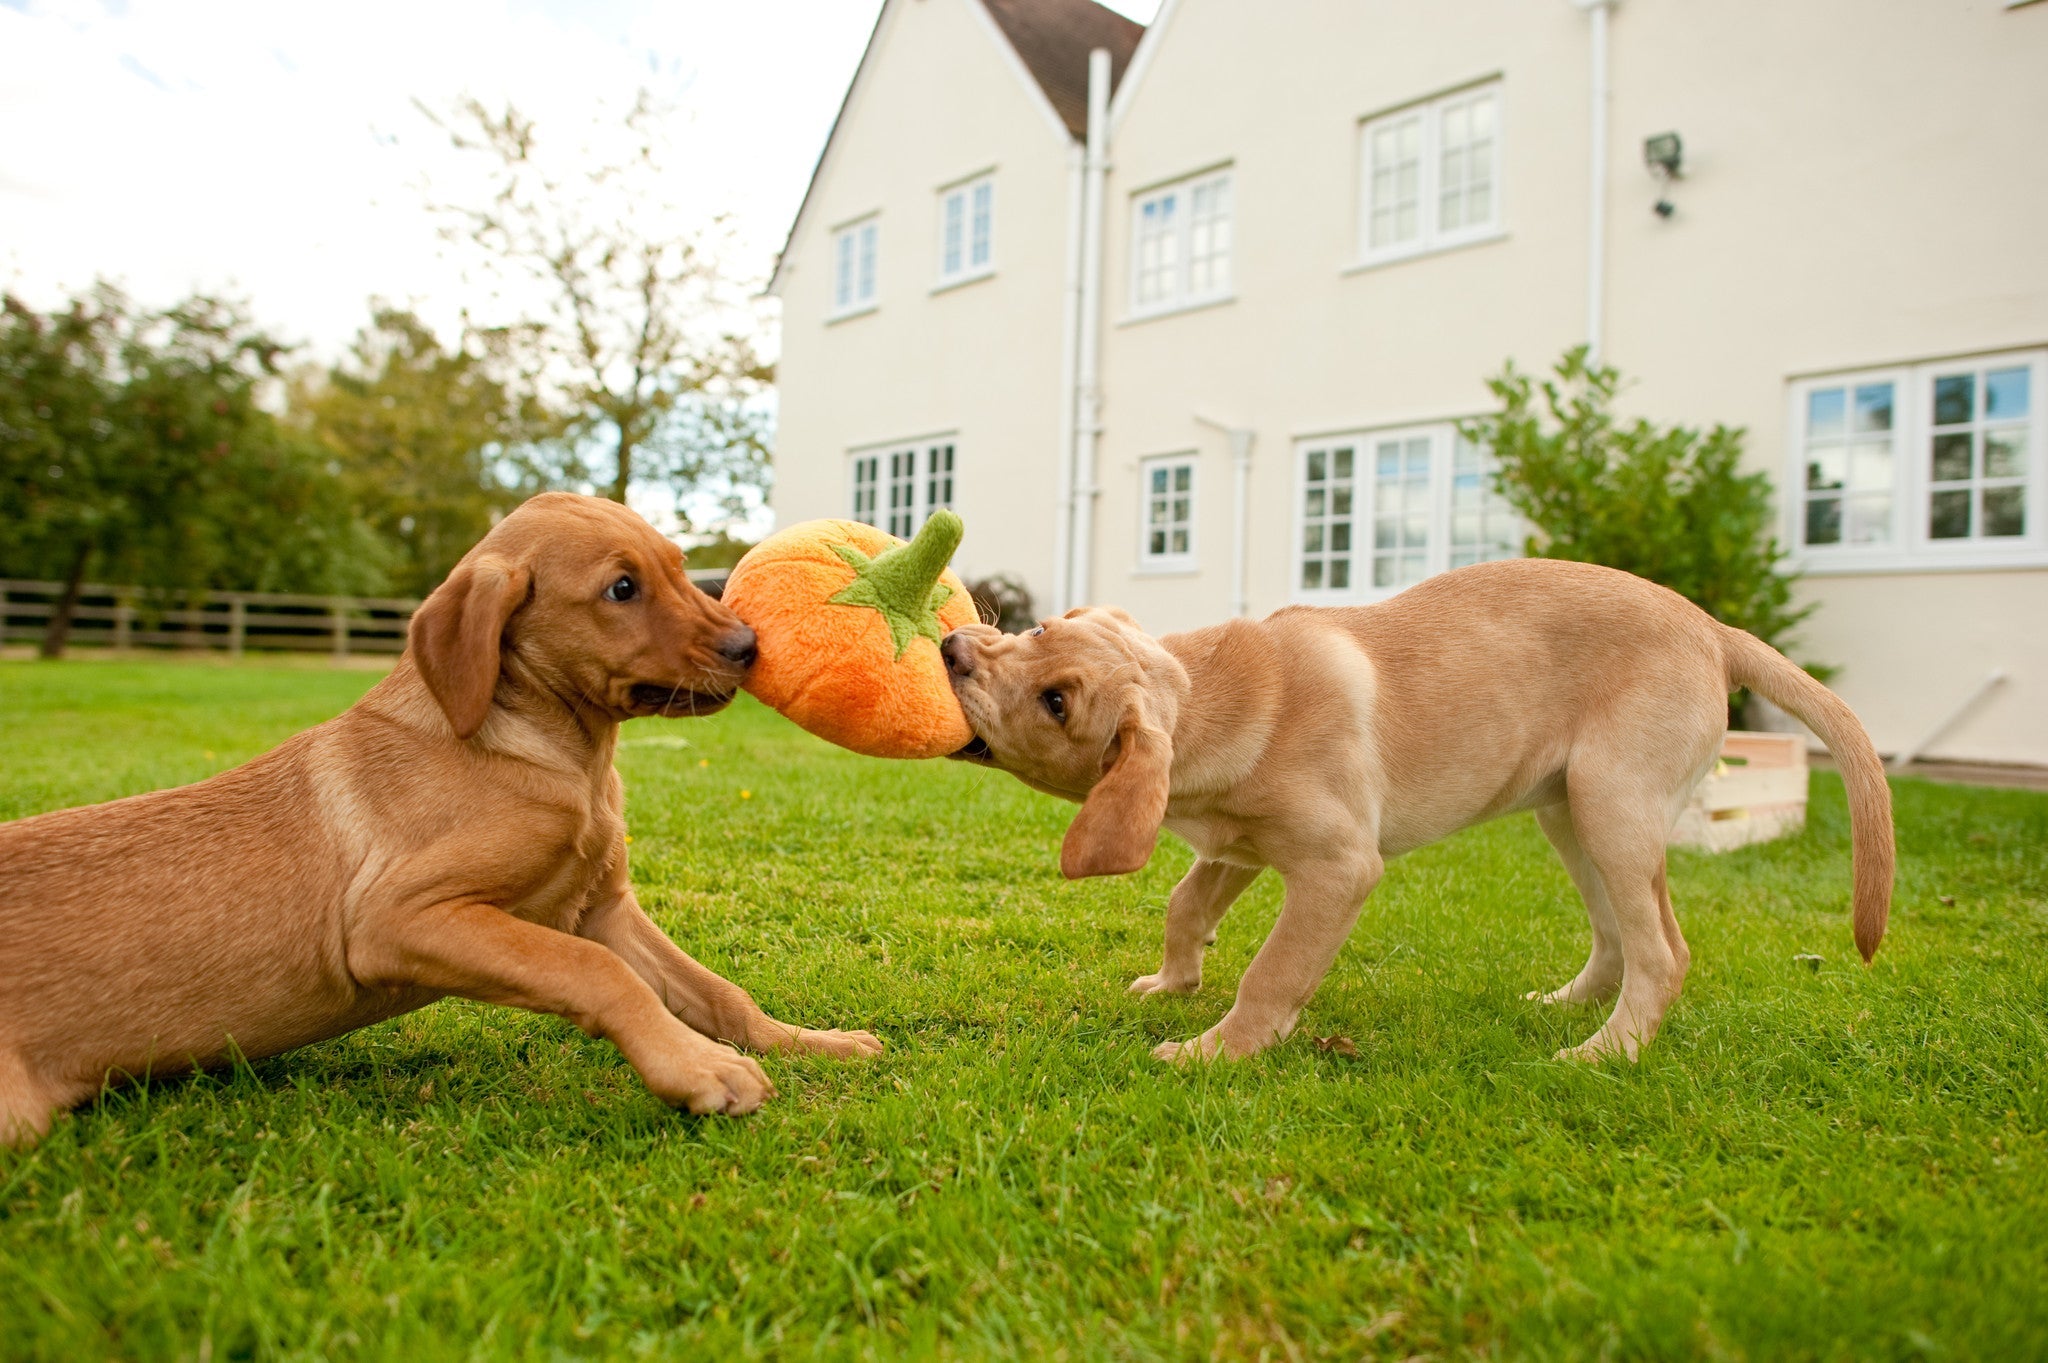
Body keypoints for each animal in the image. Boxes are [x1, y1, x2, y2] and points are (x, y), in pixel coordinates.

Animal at [937, 560, 1884, 1064]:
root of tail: (1712, 628)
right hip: (1573, 812)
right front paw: (1174, 981)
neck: (1217, 694)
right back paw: (1571, 1004)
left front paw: (1218, 1049)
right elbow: (1185, 902)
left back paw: (1605, 1051)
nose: (950, 648)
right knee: (1616, 933)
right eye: (1040, 629)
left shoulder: (1338, 866)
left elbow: (1272, 970)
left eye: (1058, 702)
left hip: (1614, 804)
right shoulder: (1237, 845)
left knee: (1664, 952)